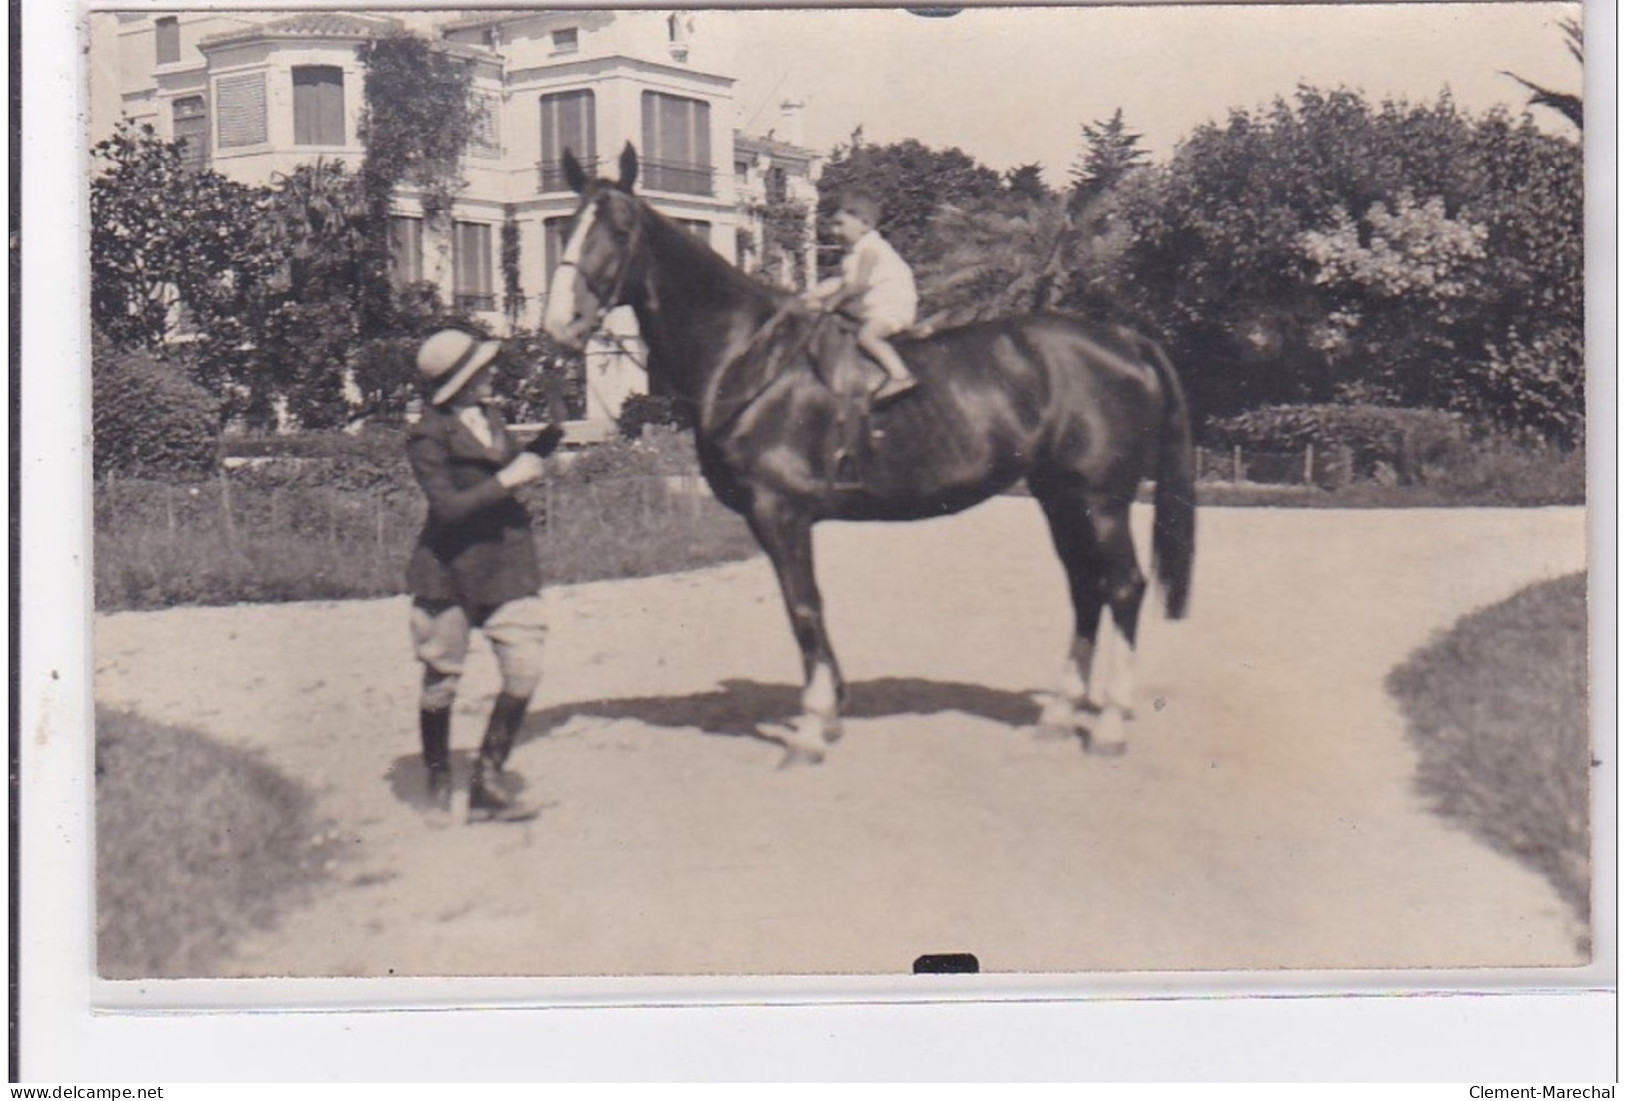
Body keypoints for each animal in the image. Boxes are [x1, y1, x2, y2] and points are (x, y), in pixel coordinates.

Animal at [546, 146, 1196, 759]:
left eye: (620, 228)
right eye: (568, 224)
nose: (561, 323)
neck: (750, 357)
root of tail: (1125, 340)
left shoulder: (780, 512)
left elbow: (804, 607)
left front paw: (812, 727)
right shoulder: (773, 520)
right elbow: (807, 606)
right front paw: (831, 710)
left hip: (1102, 500)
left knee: (1123, 586)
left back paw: (1108, 722)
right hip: (1060, 498)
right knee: (1085, 587)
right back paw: (1061, 713)